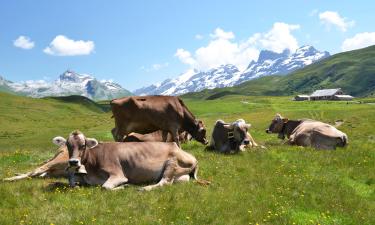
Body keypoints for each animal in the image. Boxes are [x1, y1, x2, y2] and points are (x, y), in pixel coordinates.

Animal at [52, 130, 209, 190]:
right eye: (67, 145)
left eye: (83, 145)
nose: (73, 162)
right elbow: (71, 182)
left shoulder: (118, 174)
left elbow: (105, 187)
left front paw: (124, 186)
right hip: (181, 176)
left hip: (172, 162)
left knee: (164, 182)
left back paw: (144, 188)